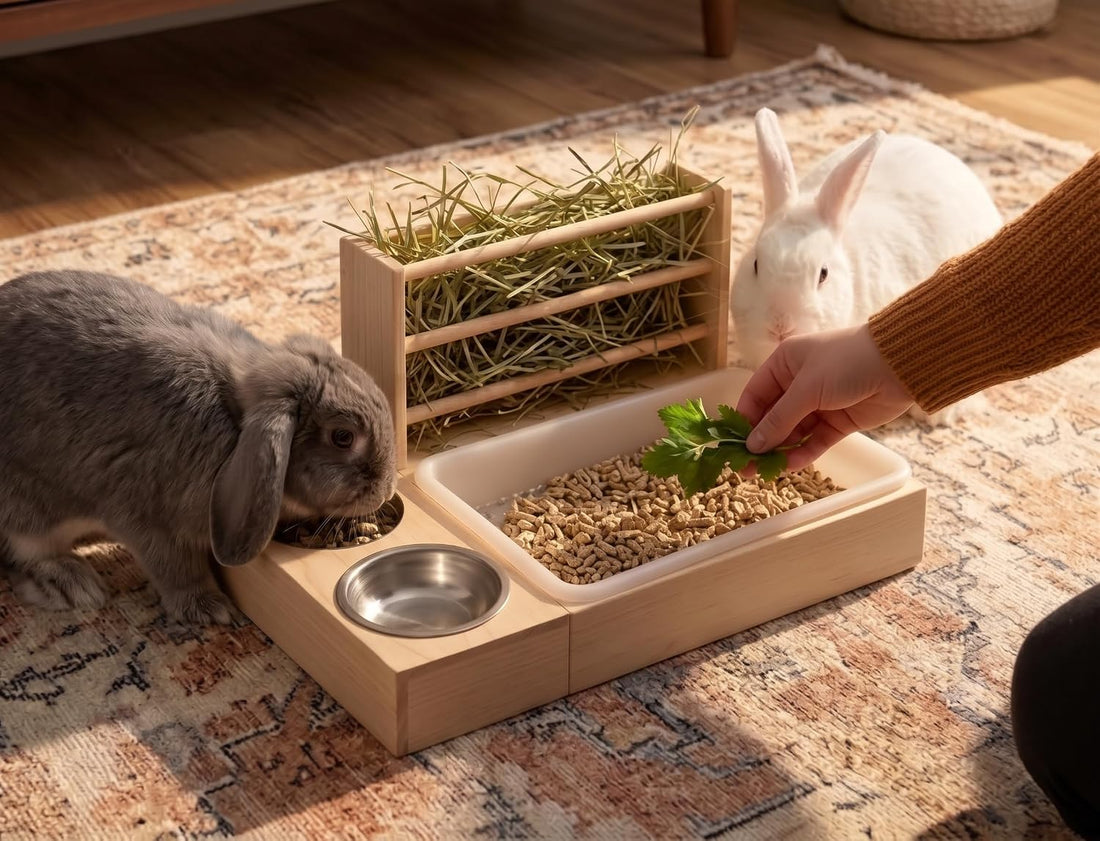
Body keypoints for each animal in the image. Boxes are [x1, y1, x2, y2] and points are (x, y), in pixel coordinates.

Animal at [0, 270, 397, 626]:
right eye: (342, 437)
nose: (386, 490)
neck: (235, 425)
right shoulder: (146, 516)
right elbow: (175, 568)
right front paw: (211, 609)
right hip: (26, 510)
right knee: (22, 556)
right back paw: (71, 584)